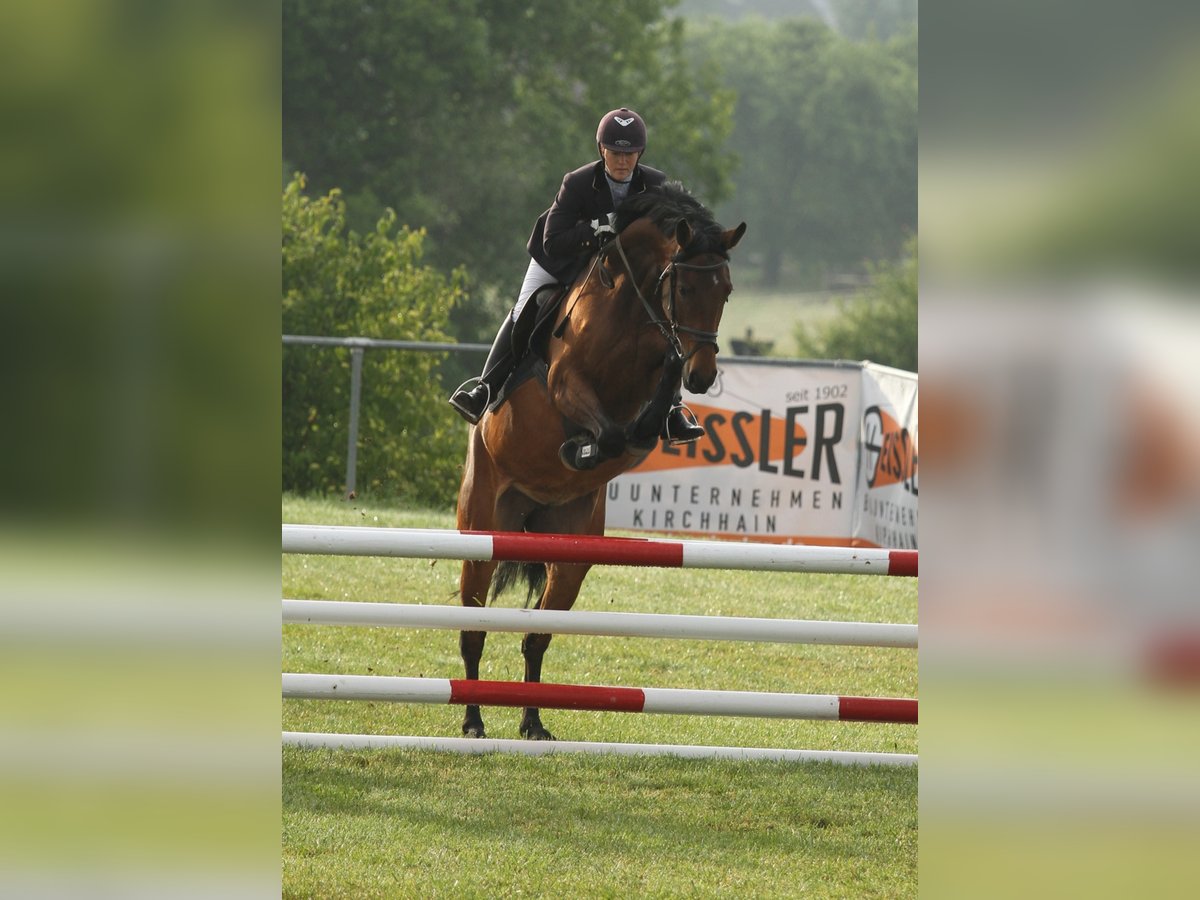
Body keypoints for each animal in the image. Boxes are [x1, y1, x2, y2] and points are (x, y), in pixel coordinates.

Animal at [453, 183, 744, 739]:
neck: (635, 306)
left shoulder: (652, 372)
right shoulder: (566, 382)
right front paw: (581, 448)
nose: (702, 376)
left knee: (536, 638)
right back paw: (474, 721)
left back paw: (533, 723)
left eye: (726, 291)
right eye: (686, 289)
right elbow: (606, 432)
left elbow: (644, 420)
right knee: (473, 630)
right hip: (482, 528)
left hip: (570, 555)